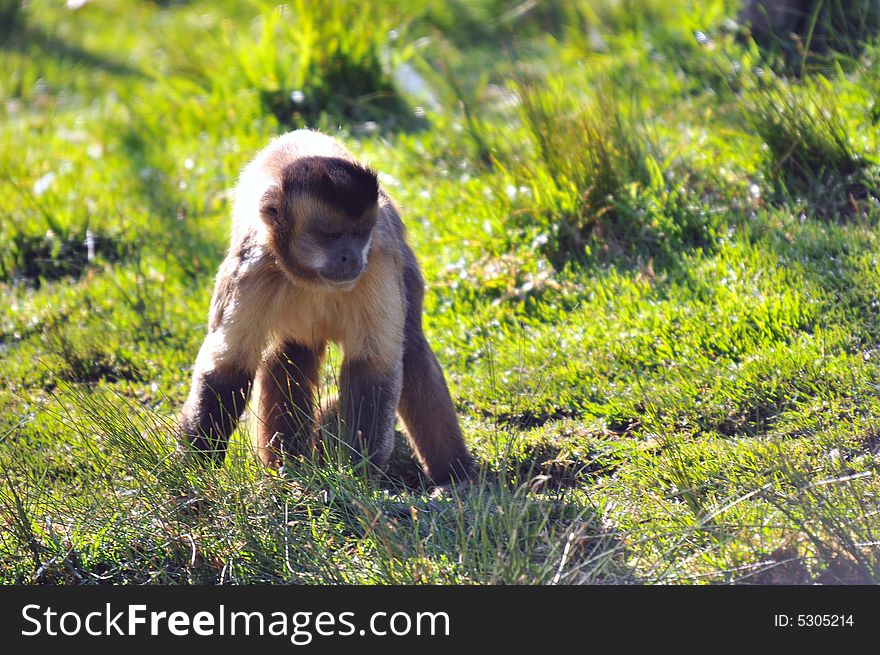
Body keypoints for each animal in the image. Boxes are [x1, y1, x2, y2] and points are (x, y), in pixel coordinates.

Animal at [177, 128, 474, 486]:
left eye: (359, 234)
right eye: (330, 235)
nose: (351, 257)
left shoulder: (379, 257)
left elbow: (373, 366)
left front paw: (360, 476)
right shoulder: (251, 268)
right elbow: (227, 366)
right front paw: (194, 471)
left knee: (411, 348)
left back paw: (453, 476)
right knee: (287, 353)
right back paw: (288, 467)